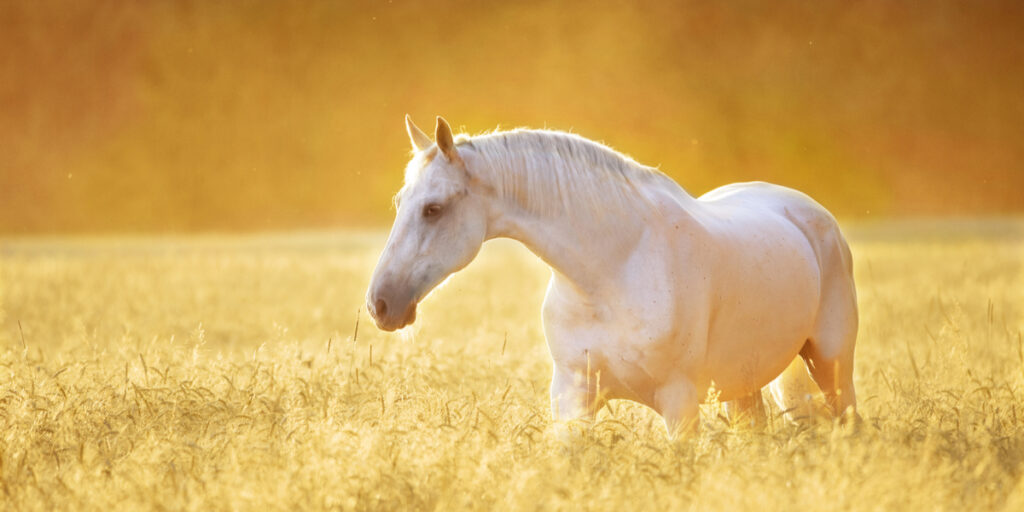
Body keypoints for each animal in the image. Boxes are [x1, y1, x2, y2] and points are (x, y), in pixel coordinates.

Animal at [368, 116, 856, 436]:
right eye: (399, 202)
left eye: (433, 208)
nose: (380, 304)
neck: (612, 270)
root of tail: (811, 212)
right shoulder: (573, 398)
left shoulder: (679, 404)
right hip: (743, 385)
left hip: (831, 366)